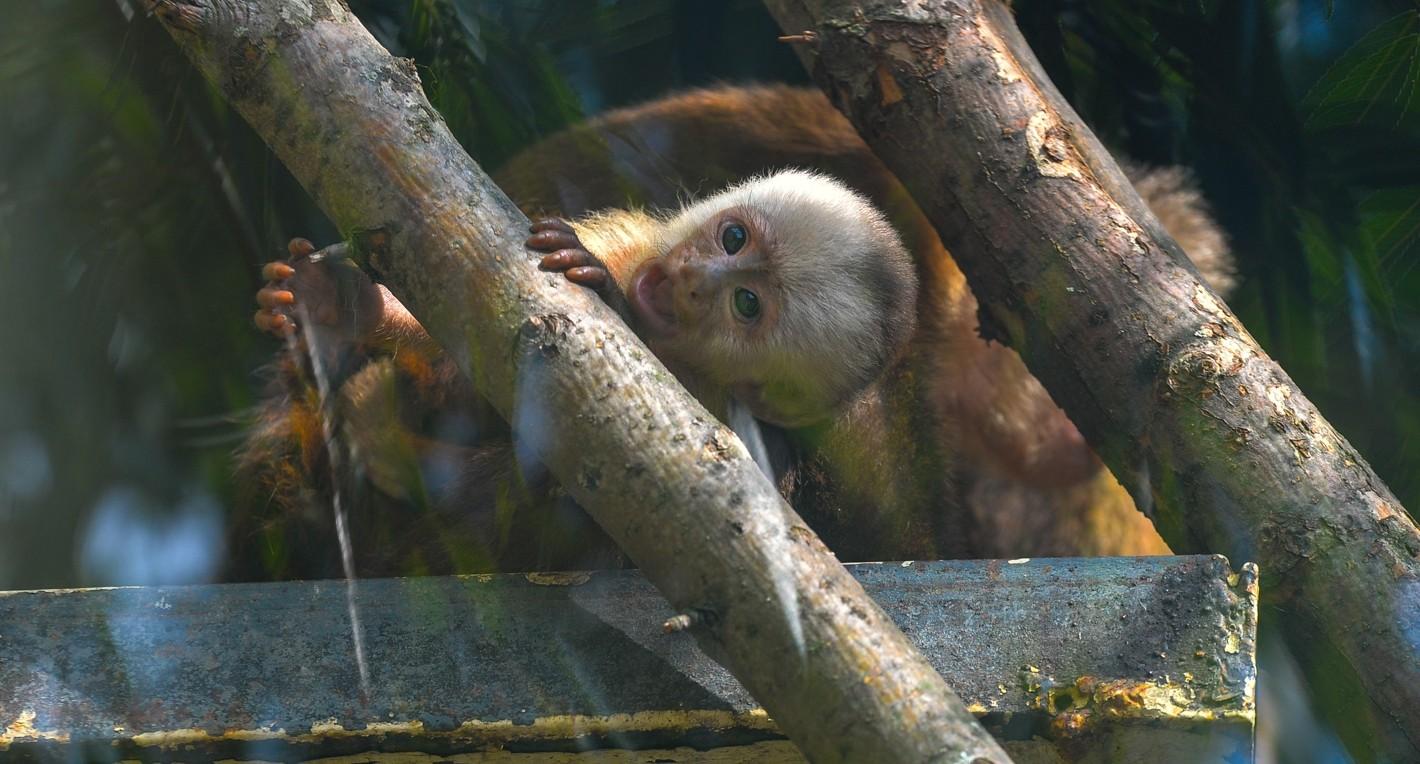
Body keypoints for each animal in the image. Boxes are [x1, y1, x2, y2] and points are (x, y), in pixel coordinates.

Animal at [258, 171, 920, 431]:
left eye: (747, 305)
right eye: (733, 239)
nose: (695, 277)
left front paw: (600, 285)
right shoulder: (635, 242)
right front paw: (339, 304)